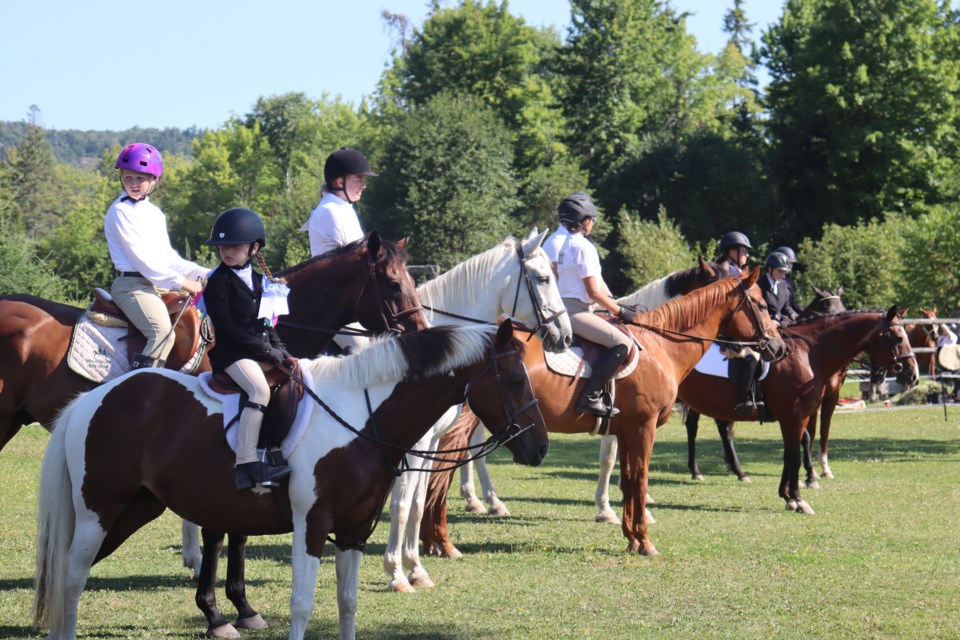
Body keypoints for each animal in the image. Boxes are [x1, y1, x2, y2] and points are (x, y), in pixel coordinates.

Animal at [35, 322, 548, 640]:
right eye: (513, 379)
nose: (539, 447)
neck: (360, 416)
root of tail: (93, 399)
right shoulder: (312, 525)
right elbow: (302, 603)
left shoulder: (354, 531)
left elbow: (347, 601)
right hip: (100, 512)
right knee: (73, 576)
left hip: (133, 510)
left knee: (68, 574)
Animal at [416, 268, 784, 556]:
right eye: (761, 305)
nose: (778, 347)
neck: (660, 346)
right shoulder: (643, 428)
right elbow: (638, 478)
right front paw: (643, 540)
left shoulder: (625, 430)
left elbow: (626, 478)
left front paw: (631, 535)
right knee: (442, 471)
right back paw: (445, 538)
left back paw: (434, 540)